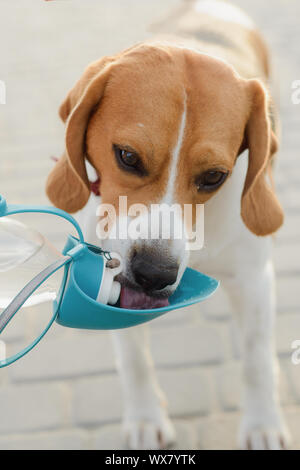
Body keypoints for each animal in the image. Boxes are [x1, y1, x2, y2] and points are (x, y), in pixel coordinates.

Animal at [47, 0, 290, 448]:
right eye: (127, 156)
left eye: (214, 176)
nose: (154, 274)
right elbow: (133, 358)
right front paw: (145, 417)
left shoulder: (254, 279)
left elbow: (257, 358)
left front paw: (263, 422)